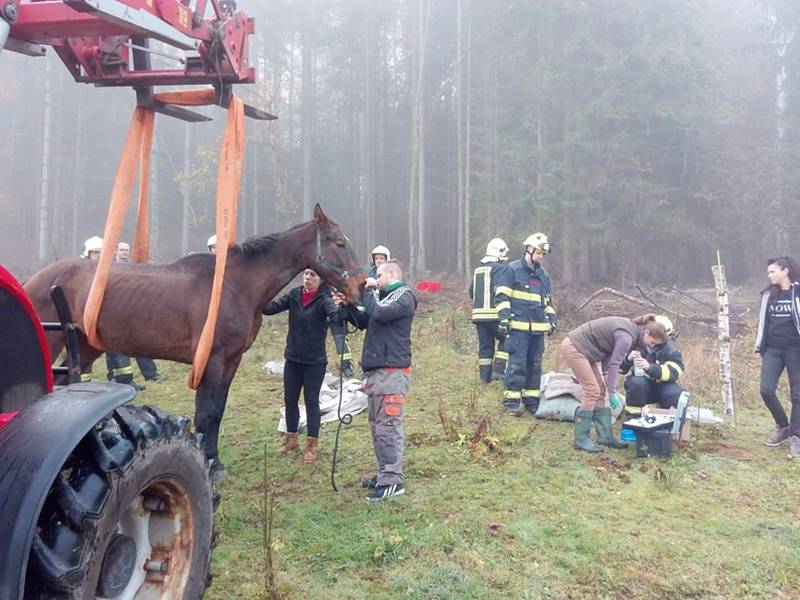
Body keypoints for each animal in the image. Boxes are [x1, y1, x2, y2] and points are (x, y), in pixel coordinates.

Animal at [21, 205, 366, 478]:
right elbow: (206, 413)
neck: (234, 285)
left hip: (86, 346)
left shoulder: (230, 361)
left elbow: (217, 411)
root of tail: (37, 277)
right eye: (339, 242)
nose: (362, 285)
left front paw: (214, 459)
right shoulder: (211, 361)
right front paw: (210, 463)